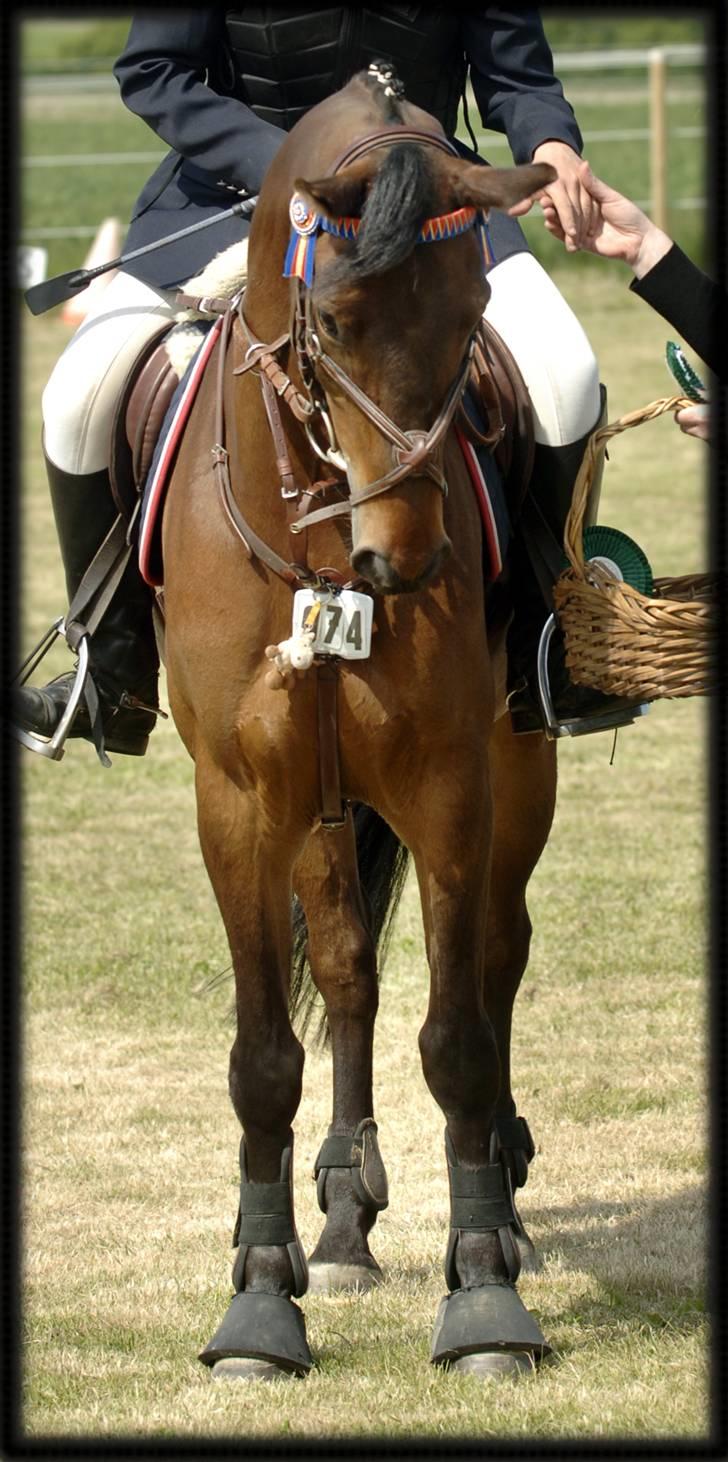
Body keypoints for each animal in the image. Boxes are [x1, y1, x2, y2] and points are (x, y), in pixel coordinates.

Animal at [160, 68, 558, 1380]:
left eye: (474, 307)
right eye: (332, 324)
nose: (409, 559)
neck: (323, 544)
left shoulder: (448, 782)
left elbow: (459, 1035)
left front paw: (482, 1289)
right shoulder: (240, 800)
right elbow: (261, 1056)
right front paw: (258, 1297)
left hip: (512, 781)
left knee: (493, 961)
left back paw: (500, 1204)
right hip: (323, 811)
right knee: (341, 974)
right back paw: (331, 1224)